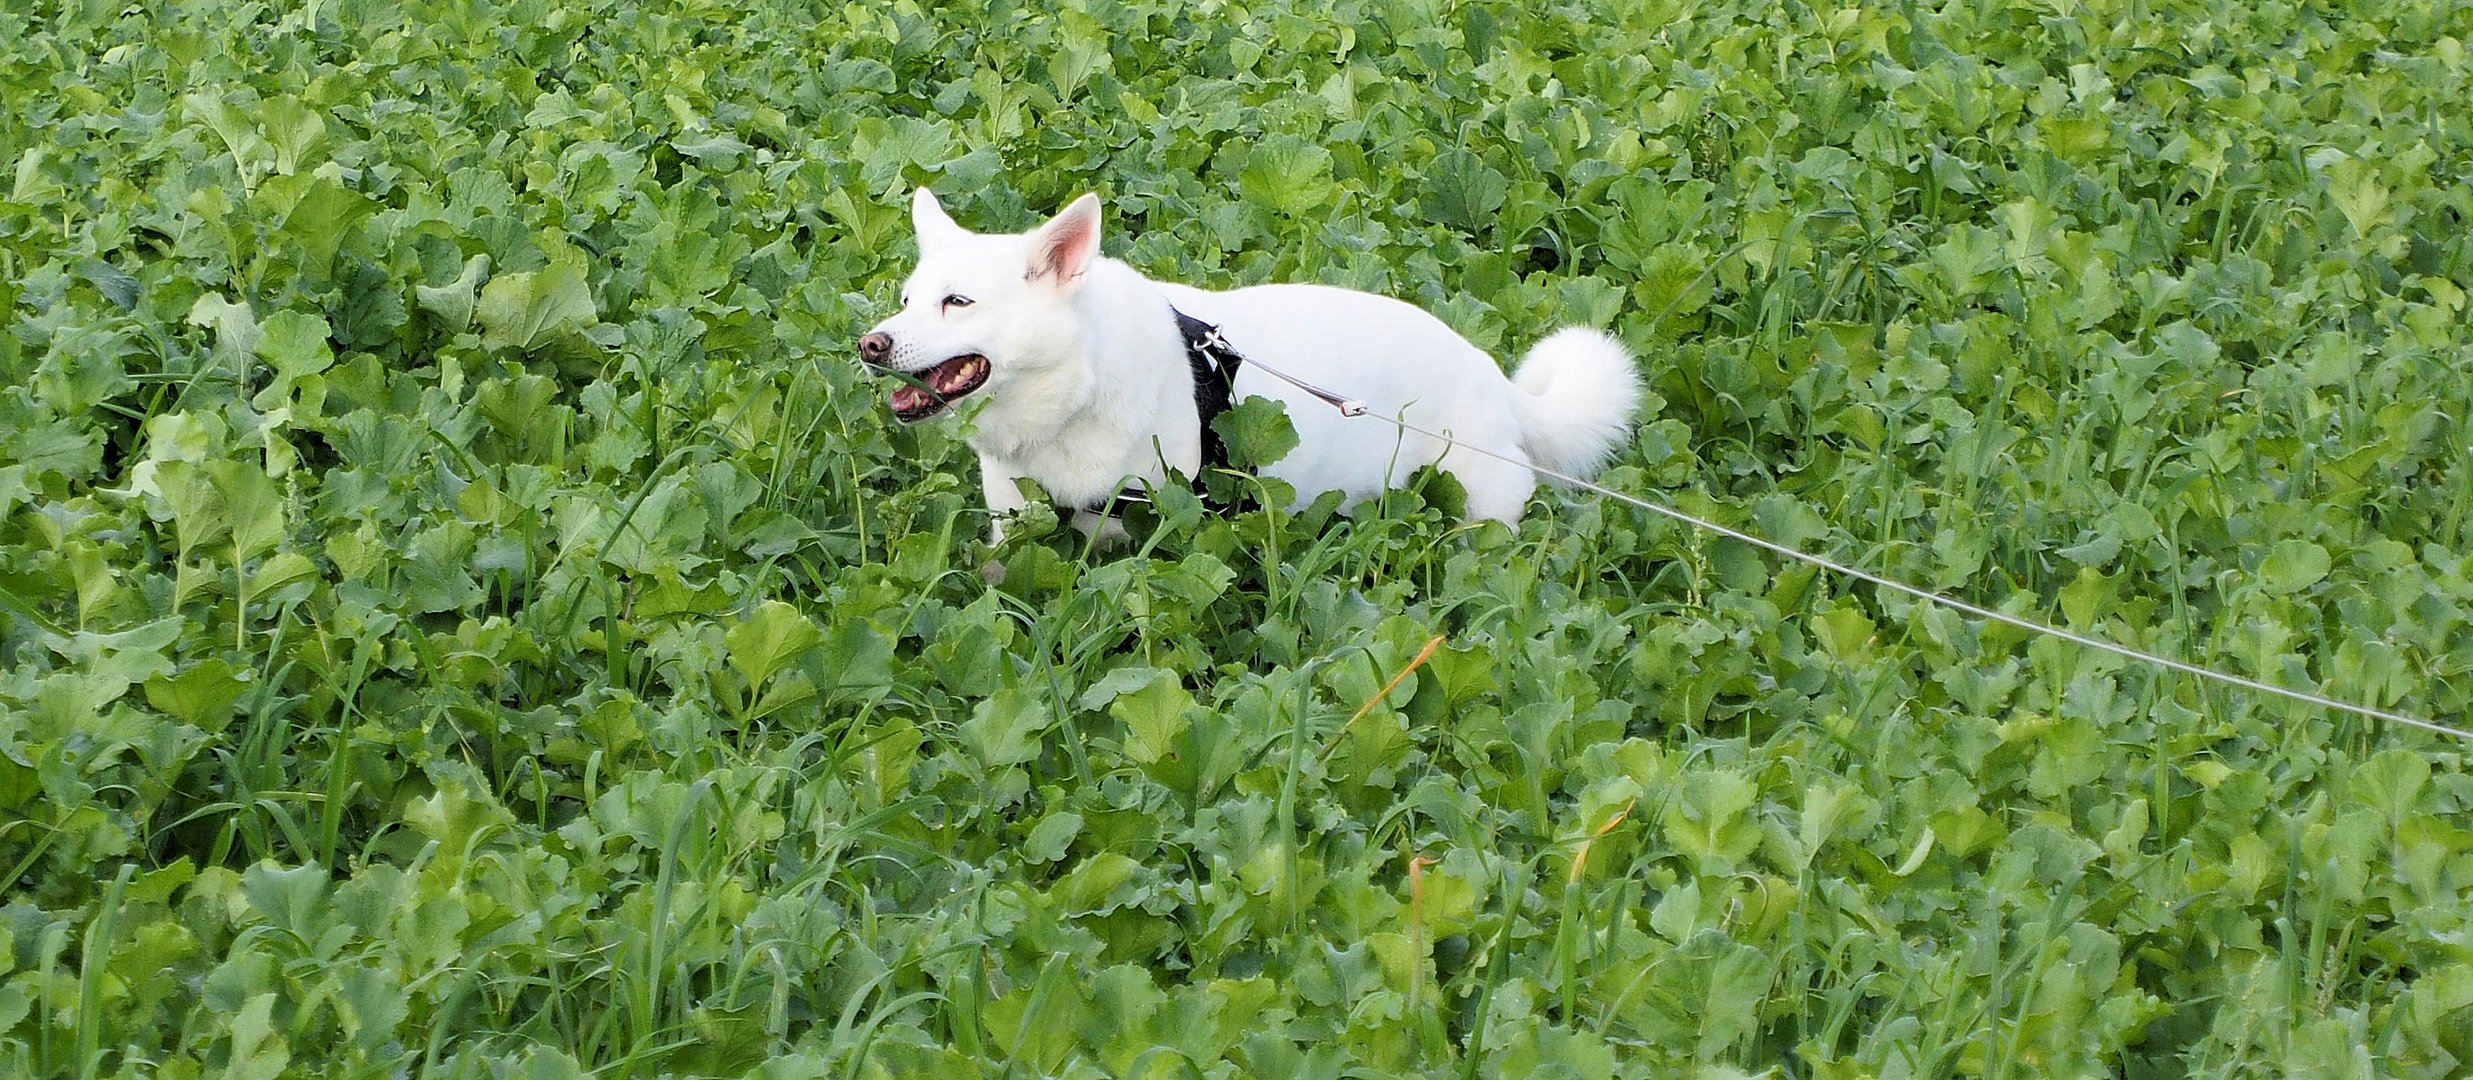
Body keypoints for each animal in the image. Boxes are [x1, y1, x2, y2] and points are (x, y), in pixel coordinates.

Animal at [855, 190, 1642, 533]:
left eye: (958, 302)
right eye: (905, 300)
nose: (871, 344)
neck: (1075, 388)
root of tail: (1496, 380)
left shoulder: (1166, 516)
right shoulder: (1021, 525)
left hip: (1476, 509)